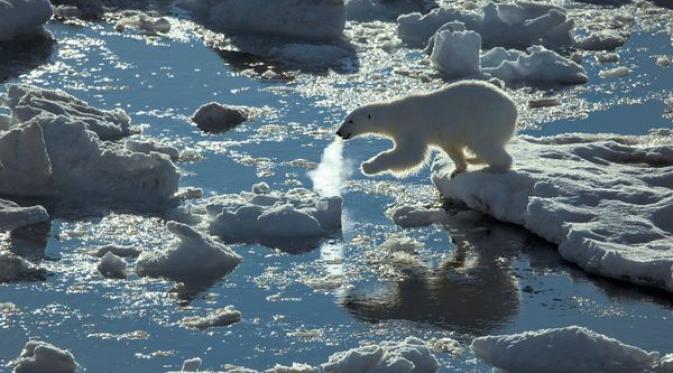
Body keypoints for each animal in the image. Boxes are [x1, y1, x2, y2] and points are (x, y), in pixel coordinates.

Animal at [336, 79, 516, 177]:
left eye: (350, 121)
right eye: (345, 119)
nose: (338, 132)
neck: (395, 114)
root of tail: (513, 110)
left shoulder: (412, 126)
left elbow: (411, 155)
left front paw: (367, 166)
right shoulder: (442, 135)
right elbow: (450, 148)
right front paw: (457, 169)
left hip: (485, 121)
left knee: (485, 145)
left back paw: (494, 167)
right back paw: (472, 160)